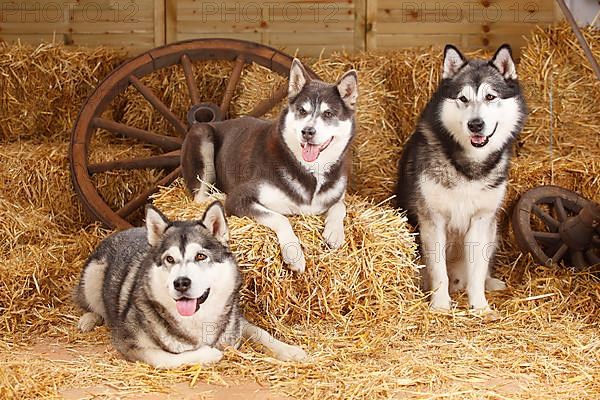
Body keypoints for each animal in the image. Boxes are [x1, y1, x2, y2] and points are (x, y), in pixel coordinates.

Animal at [74, 203, 308, 368]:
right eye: (169, 259)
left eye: (200, 256)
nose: (181, 283)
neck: (197, 319)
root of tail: (126, 229)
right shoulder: (129, 342)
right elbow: (167, 359)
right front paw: (209, 353)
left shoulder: (236, 321)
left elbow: (261, 333)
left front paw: (290, 350)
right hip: (93, 274)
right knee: (91, 305)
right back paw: (88, 319)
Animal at [180, 58, 358, 272]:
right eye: (302, 111)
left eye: (329, 114)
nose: (307, 131)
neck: (310, 170)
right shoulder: (240, 199)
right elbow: (280, 217)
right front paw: (293, 253)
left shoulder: (337, 194)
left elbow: (340, 206)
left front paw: (335, 232)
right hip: (202, 133)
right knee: (199, 197)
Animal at [396, 44, 528, 312]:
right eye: (463, 99)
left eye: (490, 97)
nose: (476, 124)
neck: (470, 166)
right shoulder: (432, 220)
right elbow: (439, 272)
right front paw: (440, 305)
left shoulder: (480, 219)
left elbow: (476, 272)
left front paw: (480, 307)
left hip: (493, 229)